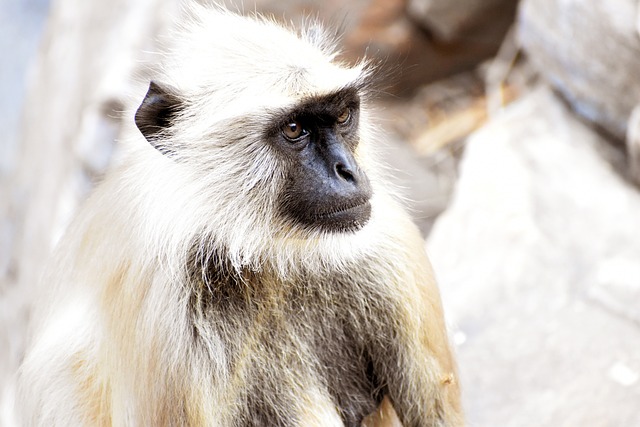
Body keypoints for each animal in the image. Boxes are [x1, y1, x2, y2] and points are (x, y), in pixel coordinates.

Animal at [17, 4, 462, 427]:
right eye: (294, 129)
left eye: (342, 116)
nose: (348, 171)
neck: (268, 257)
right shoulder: (166, 319)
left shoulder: (385, 244)